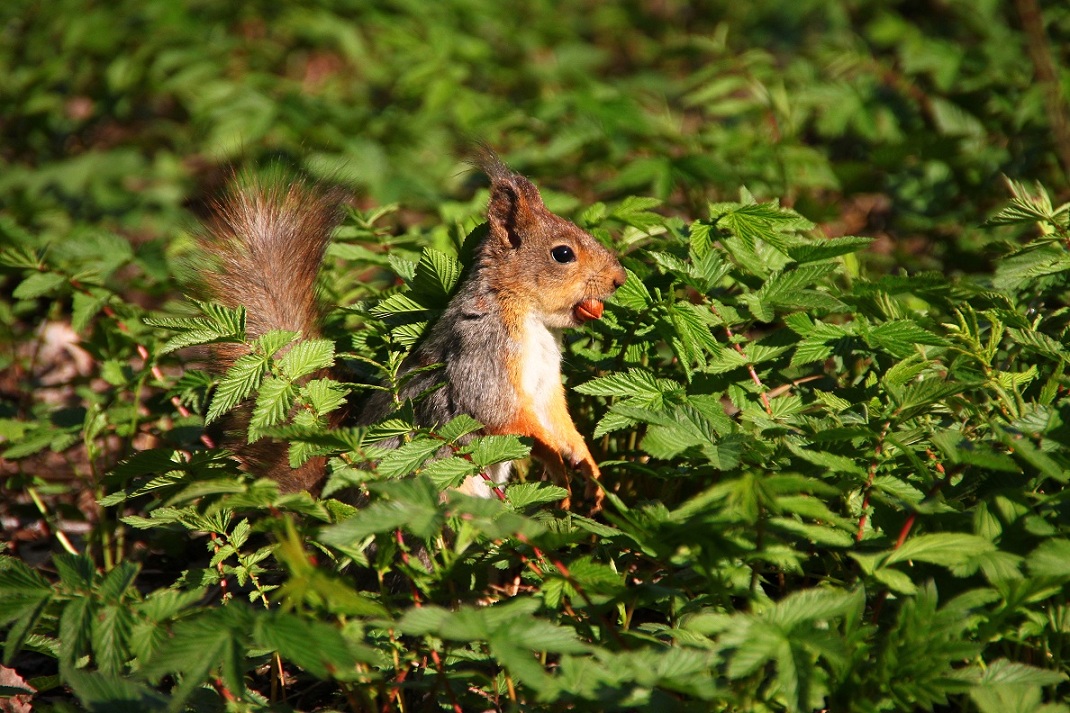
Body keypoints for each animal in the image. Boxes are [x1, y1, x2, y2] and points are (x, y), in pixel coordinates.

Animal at [199, 149, 624, 505]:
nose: (619, 279)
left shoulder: (546, 384)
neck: (531, 320)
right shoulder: (483, 354)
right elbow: (503, 416)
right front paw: (558, 470)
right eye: (562, 253)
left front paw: (588, 467)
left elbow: (559, 421)